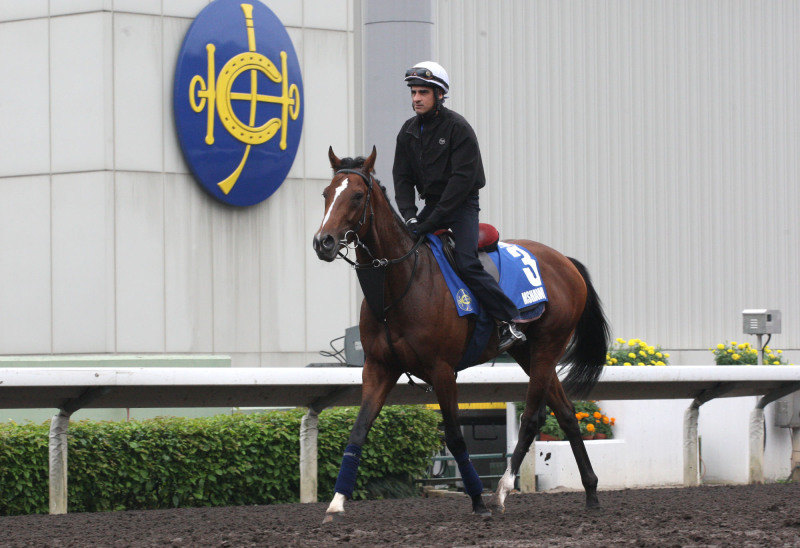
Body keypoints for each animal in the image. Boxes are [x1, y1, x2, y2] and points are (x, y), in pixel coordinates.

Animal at [312, 147, 612, 524]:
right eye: (326, 193)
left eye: (356, 195)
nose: (323, 242)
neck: (402, 283)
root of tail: (566, 262)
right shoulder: (379, 368)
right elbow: (359, 429)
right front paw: (336, 503)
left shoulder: (442, 371)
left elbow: (455, 437)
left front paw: (478, 500)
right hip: (527, 352)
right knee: (568, 414)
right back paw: (591, 491)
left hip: (548, 345)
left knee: (532, 416)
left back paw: (502, 490)